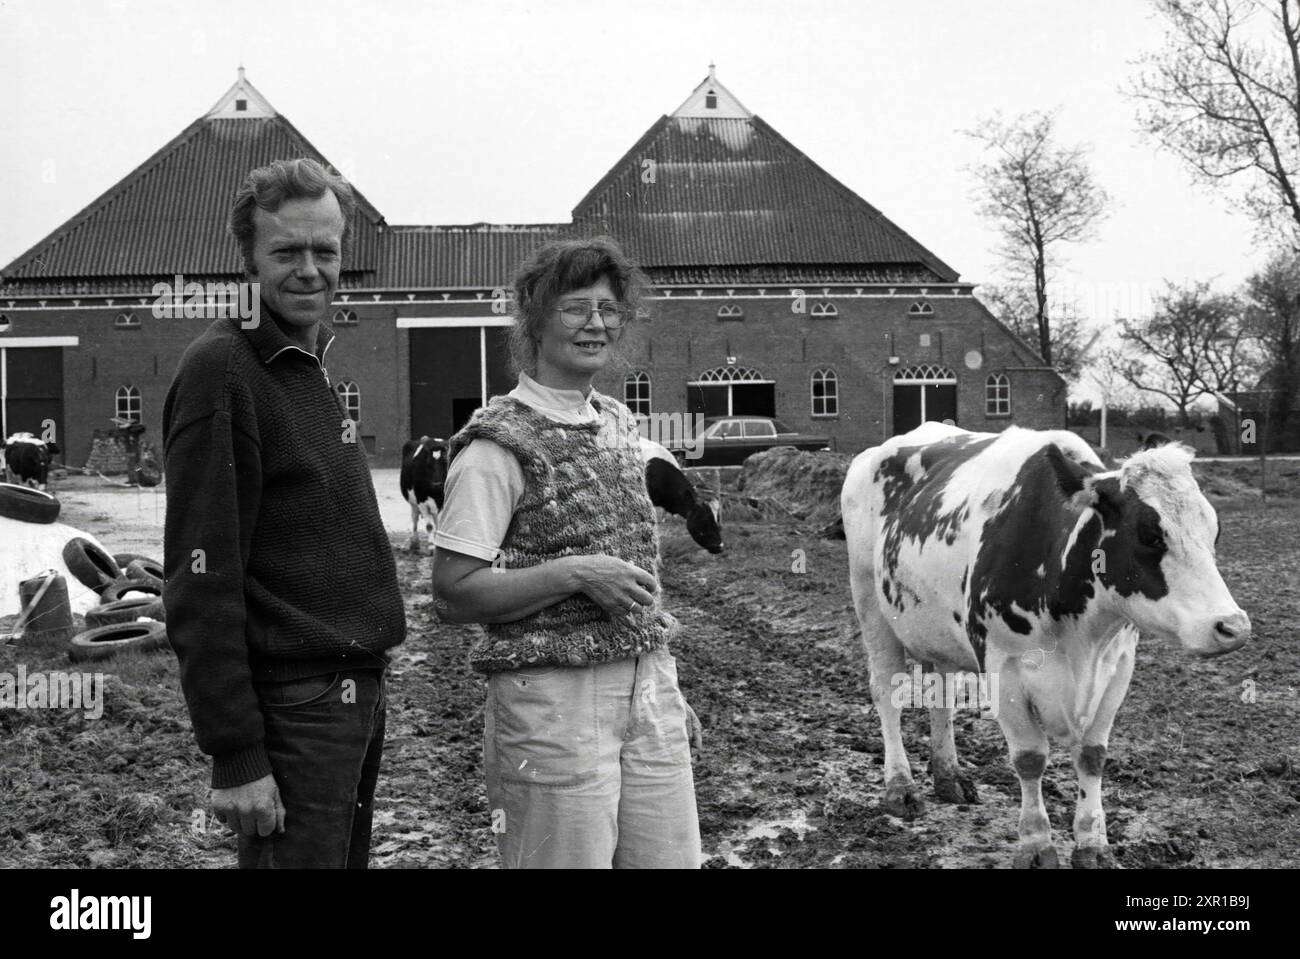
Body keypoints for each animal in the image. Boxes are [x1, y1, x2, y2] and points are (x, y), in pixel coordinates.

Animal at [837, 423, 1253, 868]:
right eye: (1149, 534)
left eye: (1215, 529)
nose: (1232, 627)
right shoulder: (1003, 667)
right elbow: (1030, 758)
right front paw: (1036, 845)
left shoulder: (1119, 664)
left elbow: (1092, 755)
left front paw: (1093, 845)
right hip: (871, 607)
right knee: (887, 694)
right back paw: (900, 787)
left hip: (936, 630)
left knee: (942, 698)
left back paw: (949, 776)